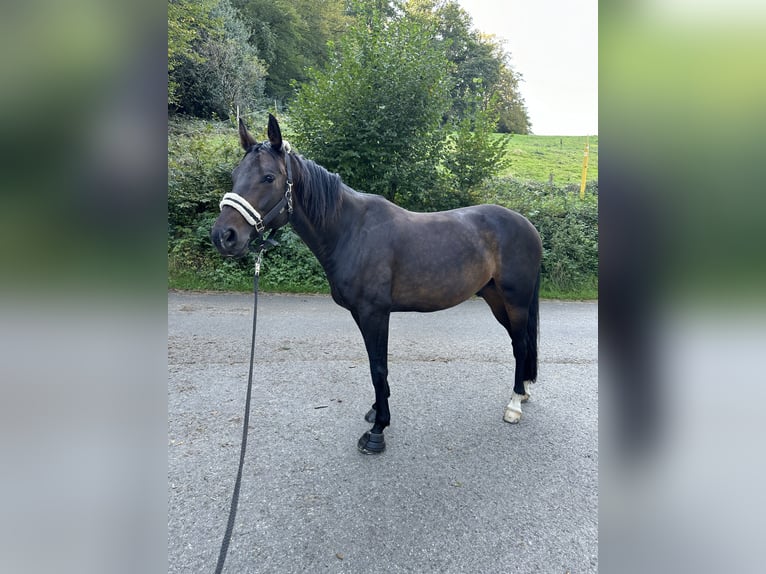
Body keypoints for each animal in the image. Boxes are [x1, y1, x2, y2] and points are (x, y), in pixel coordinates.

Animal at [211, 114, 542, 454]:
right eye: (235, 175)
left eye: (268, 177)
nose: (223, 236)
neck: (350, 230)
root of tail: (527, 225)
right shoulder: (361, 315)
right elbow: (374, 364)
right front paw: (375, 411)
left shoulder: (375, 314)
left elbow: (378, 367)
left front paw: (378, 431)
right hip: (495, 298)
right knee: (519, 343)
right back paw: (524, 392)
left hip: (515, 301)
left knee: (520, 345)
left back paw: (514, 404)